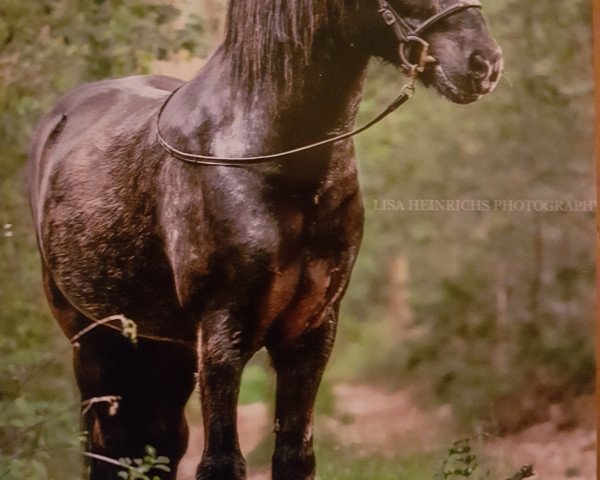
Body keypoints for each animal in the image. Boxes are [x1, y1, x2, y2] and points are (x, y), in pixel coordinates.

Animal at [29, 1, 502, 478]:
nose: (484, 63)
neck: (273, 159)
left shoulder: (312, 331)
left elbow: (295, 455)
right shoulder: (222, 333)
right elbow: (221, 462)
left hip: (162, 349)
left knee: (160, 443)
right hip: (92, 341)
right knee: (107, 447)